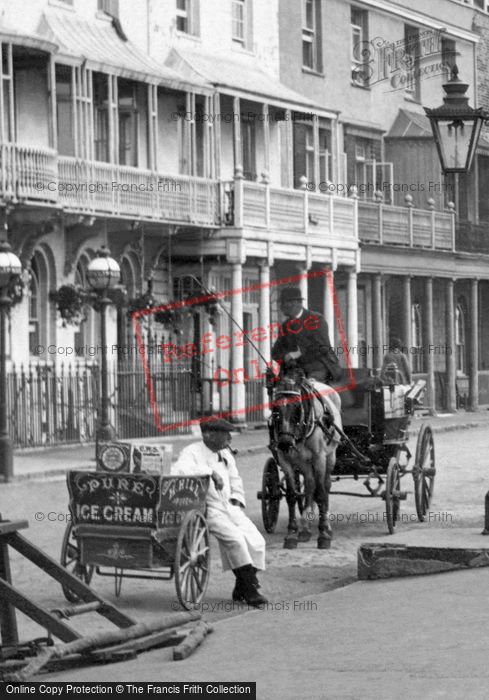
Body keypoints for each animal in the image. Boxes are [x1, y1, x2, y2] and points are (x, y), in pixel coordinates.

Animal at [268, 370, 342, 548]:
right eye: (275, 408)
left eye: (297, 407)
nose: (285, 442)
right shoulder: (286, 461)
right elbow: (292, 496)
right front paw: (291, 534)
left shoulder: (319, 458)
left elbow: (321, 494)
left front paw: (323, 534)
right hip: (304, 463)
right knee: (309, 485)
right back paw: (305, 529)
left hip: (330, 457)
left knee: (324, 486)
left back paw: (326, 527)